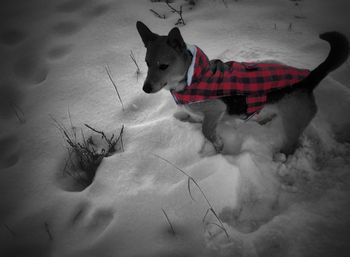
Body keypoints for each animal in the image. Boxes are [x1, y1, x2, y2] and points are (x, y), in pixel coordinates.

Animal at [135, 21, 348, 153]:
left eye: (163, 66)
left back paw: (281, 157)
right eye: (146, 63)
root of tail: (309, 78)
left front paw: (219, 146)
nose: (145, 88)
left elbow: (207, 131)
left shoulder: (215, 110)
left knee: (290, 145)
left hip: (292, 124)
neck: (191, 76)